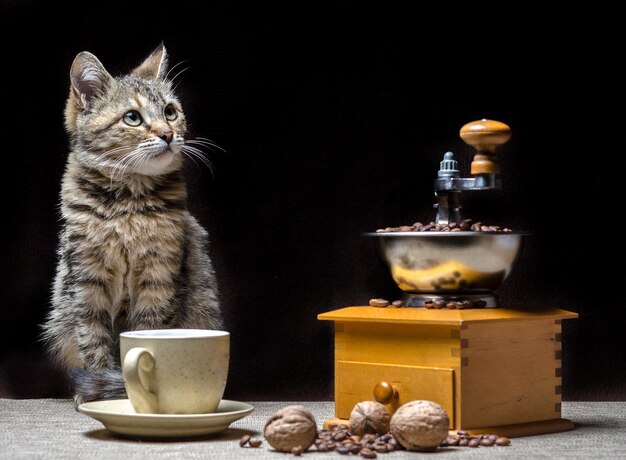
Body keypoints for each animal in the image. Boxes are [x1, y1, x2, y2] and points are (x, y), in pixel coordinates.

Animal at [42, 45, 222, 402]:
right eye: (132, 117)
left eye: (170, 111)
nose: (168, 134)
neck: (128, 208)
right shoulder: (86, 281)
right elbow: (92, 340)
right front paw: (100, 389)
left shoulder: (160, 277)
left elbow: (148, 333)